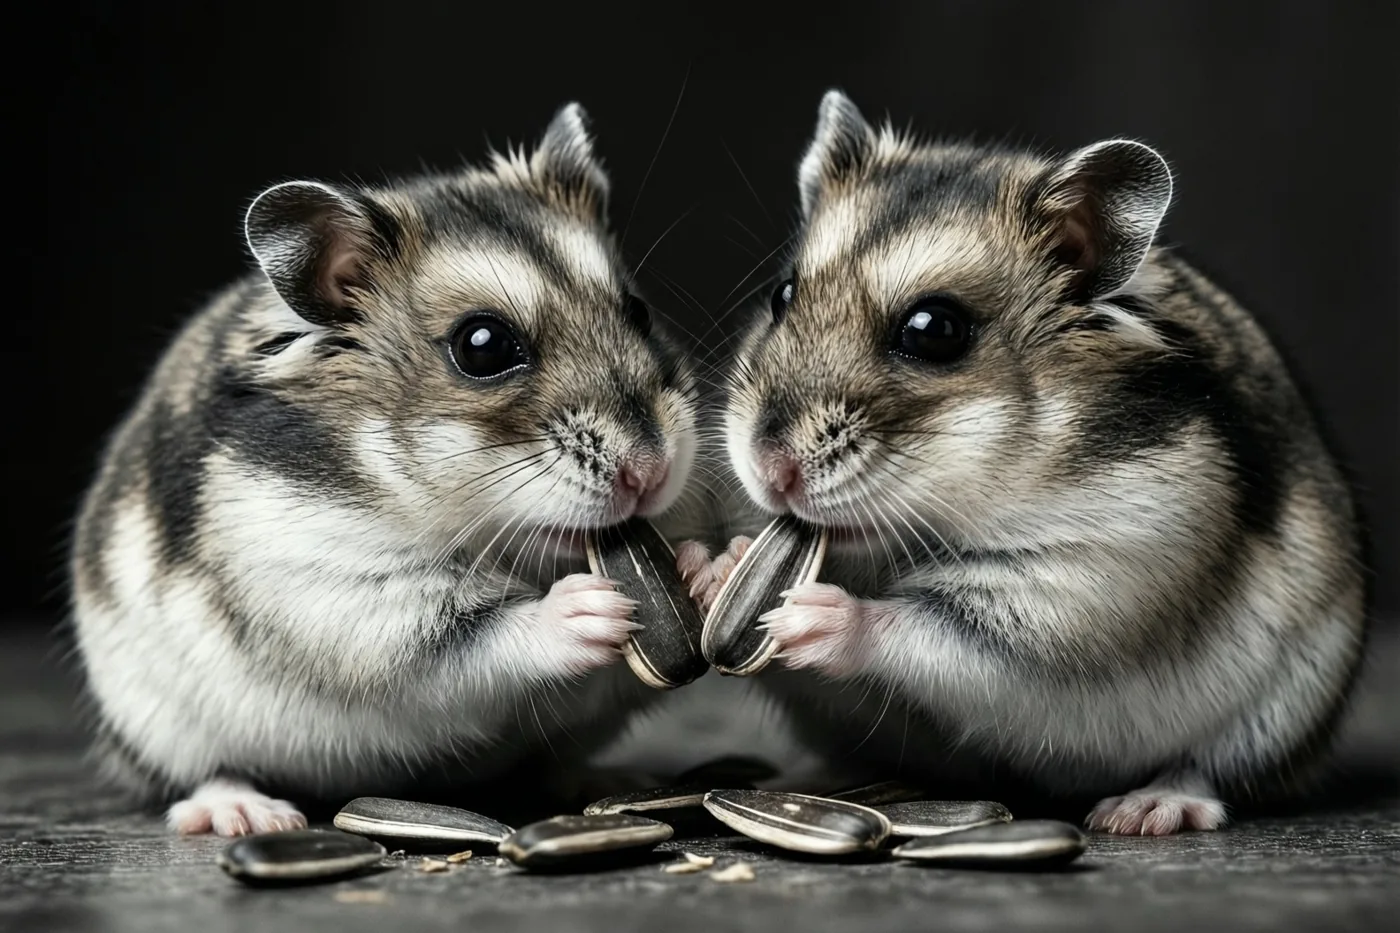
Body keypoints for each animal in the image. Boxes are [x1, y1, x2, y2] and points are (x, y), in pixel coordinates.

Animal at [69, 103, 716, 836]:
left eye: (638, 311)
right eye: (482, 346)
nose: (651, 472)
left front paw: (704, 570)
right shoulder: (344, 597)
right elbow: (477, 638)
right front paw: (590, 607)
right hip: (158, 720)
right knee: (201, 772)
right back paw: (251, 816)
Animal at [712, 90, 1368, 835]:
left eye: (935, 330)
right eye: (782, 295)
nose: (771, 470)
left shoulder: (1082, 585)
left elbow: (921, 628)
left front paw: (804, 615)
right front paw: (718, 572)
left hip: (1287, 706)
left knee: (1216, 770)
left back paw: (1140, 812)